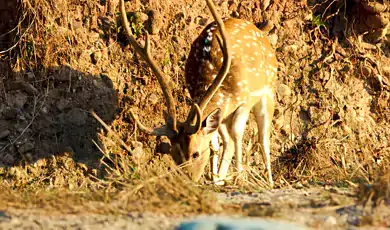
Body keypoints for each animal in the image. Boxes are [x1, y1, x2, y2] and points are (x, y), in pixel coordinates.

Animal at [119, 0, 278, 187]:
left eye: (195, 154)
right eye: (174, 155)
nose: (188, 180)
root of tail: (259, 31)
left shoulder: (245, 100)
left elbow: (238, 133)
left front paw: (239, 179)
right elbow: (216, 143)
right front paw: (218, 179)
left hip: (269, 90)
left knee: (263, 138)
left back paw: (268, 182)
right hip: (225, 115)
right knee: (228, 141)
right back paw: (219, 179)